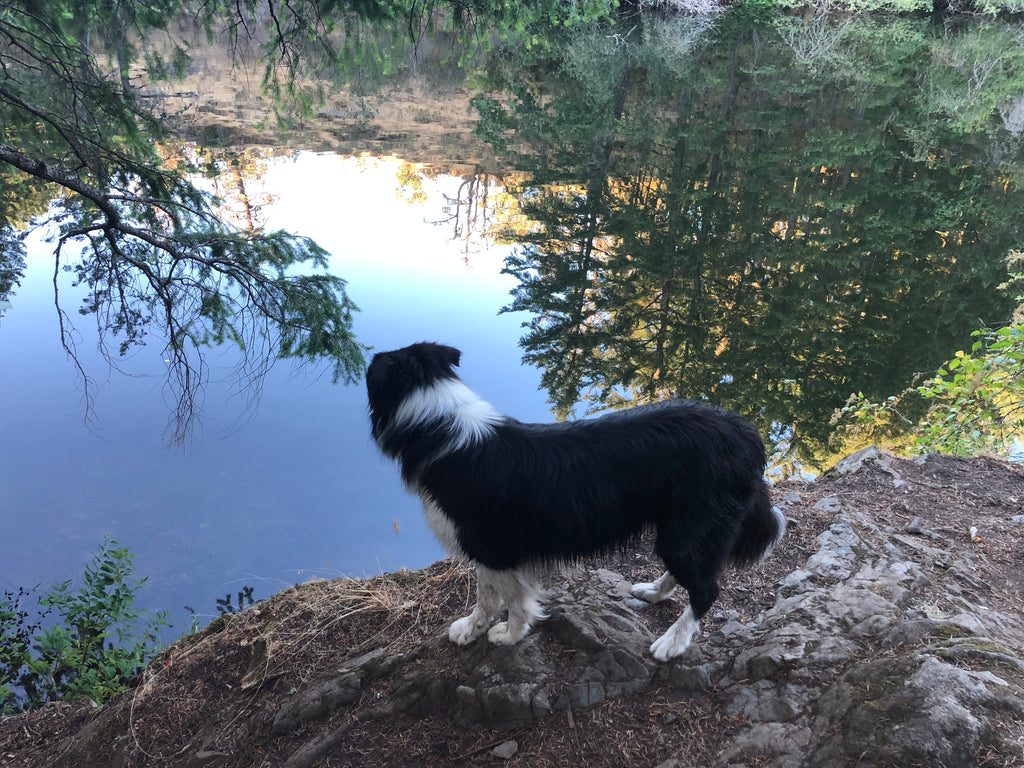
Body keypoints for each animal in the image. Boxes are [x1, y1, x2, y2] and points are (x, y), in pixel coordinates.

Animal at [368, 342, 782, 663]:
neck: (438, 427)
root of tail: (746, 433)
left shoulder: (488, 546)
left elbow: (506, 598)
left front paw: (505, 634)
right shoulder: (490, 549)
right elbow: (492, 595)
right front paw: (478, 630)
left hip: (690, 526)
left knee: (706, 589)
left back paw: (672, 643)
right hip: (682, 528)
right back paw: (653, 591)